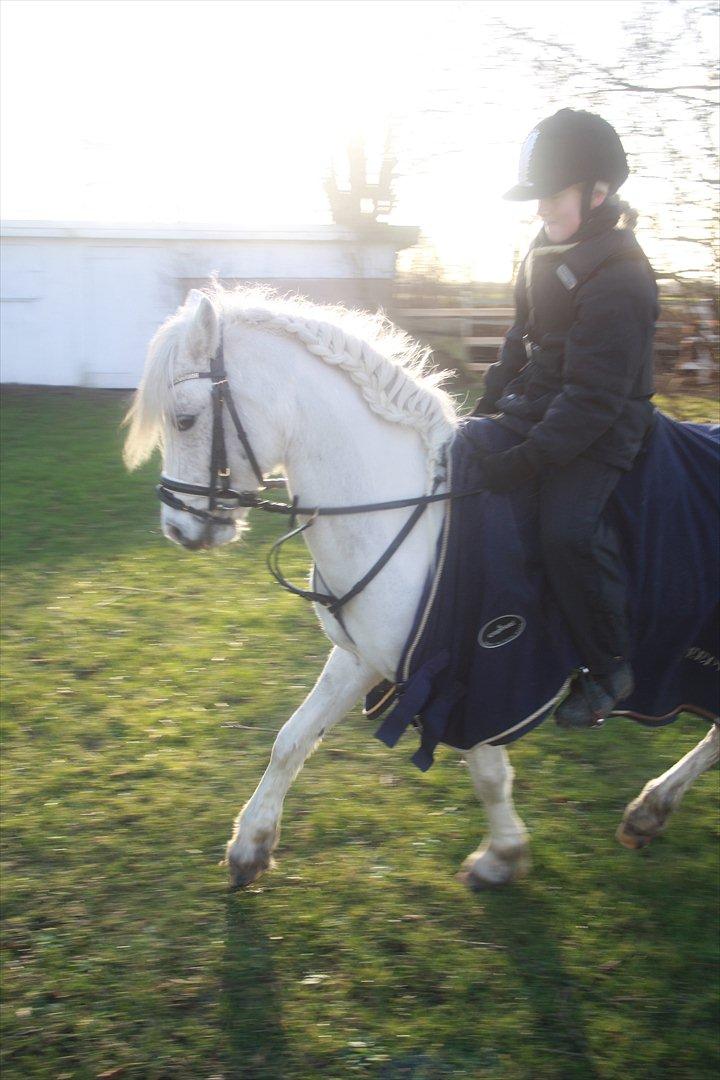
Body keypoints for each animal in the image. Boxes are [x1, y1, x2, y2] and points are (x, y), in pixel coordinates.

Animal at [123, 286, 719, 889]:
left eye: (185, 419)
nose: (178, 530)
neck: (407, 506)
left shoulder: (477, 679)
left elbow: (488, 774)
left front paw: (502, 857)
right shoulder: (362, 654)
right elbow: (291, 740)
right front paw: (250, 847)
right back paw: (651, 811)